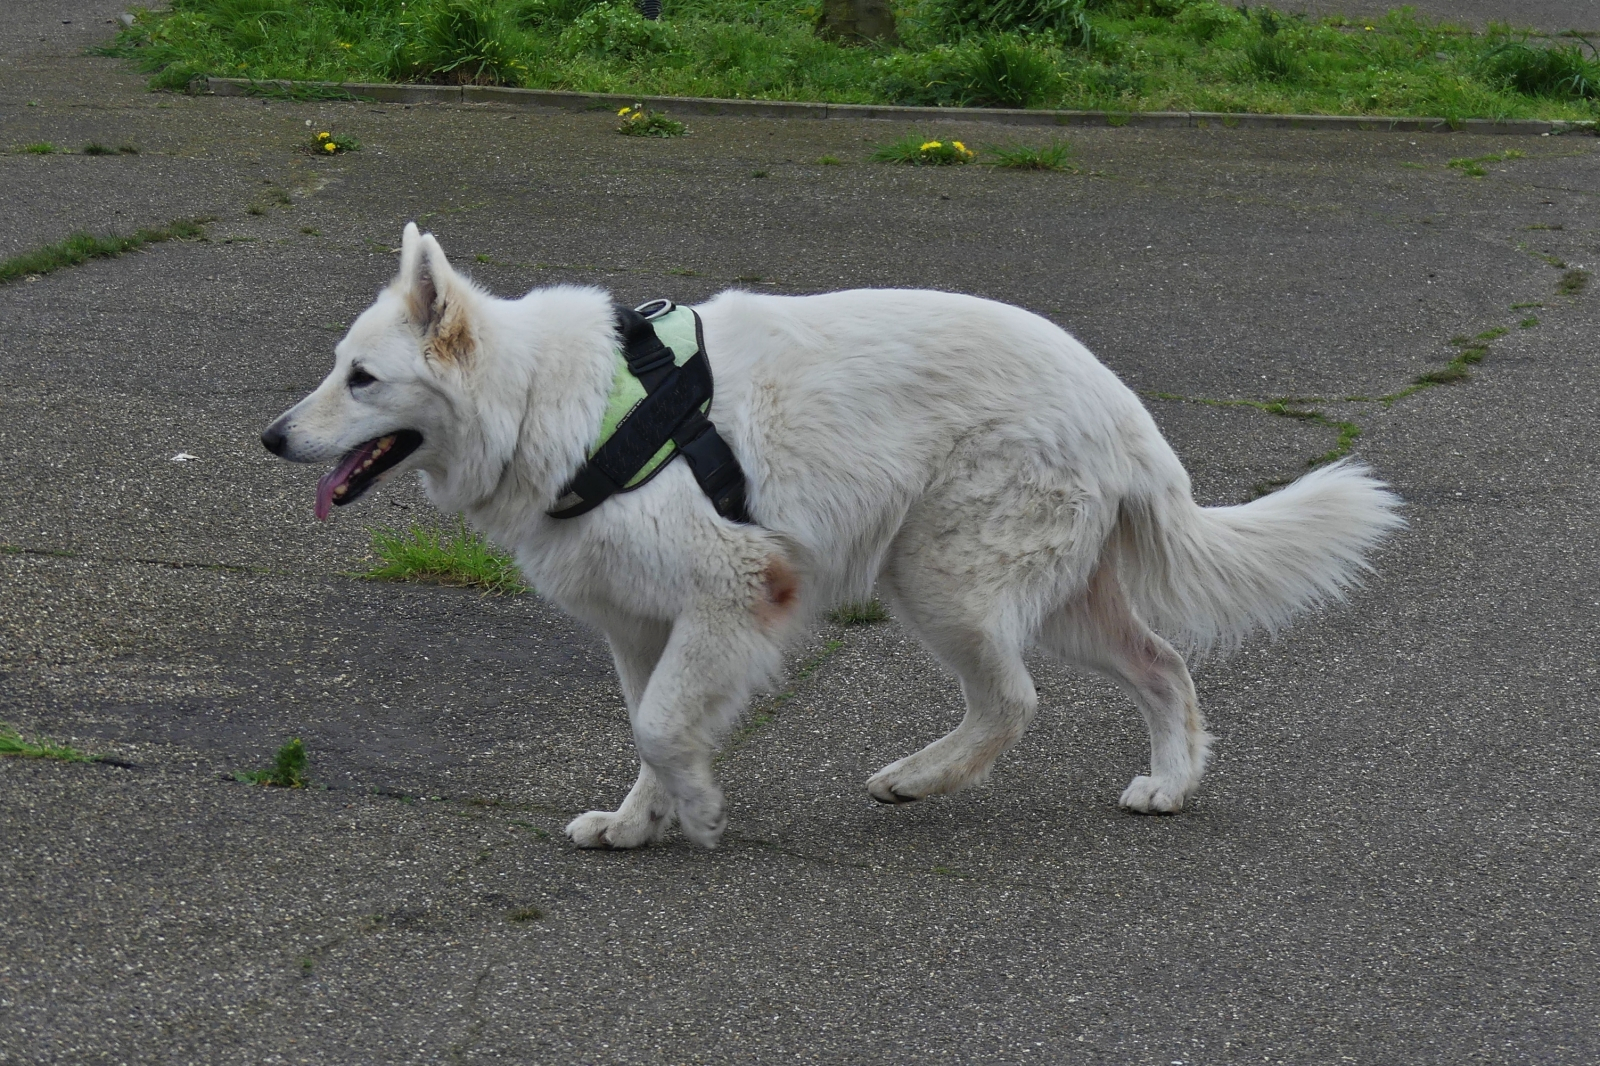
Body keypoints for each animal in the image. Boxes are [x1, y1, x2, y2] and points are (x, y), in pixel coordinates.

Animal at [259, 224, 1401, 845]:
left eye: (362, 379)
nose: (272, 438)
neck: (551, 400)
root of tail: (1119, 402)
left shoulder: (735, 592)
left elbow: (664, 727)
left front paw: (697, 810)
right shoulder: (641, 629)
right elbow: (646, 727)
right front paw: (639, 823)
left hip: (938, 580)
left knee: (1014, 699)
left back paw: (923, 776)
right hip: (1036, 596)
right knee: (1162, 666)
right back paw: (1169, 782)